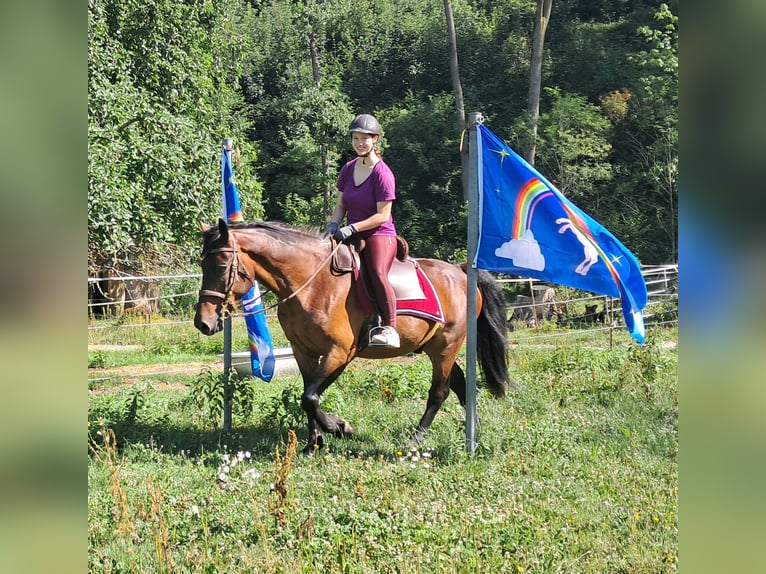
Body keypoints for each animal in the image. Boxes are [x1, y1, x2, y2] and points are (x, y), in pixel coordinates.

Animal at [194, 218, 512, 454]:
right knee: (459, 384)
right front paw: (313, 443)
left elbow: (310, 397)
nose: (203, 323)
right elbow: (307, 396)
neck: (312, 283)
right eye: (201, 265)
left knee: (440, 391)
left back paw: (416, 438)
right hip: (435, 347)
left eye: (221, 265)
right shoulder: (303, 351)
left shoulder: (339, 352)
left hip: (447, 345)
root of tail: (460, 271)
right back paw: (474, 429)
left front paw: (339, 428)